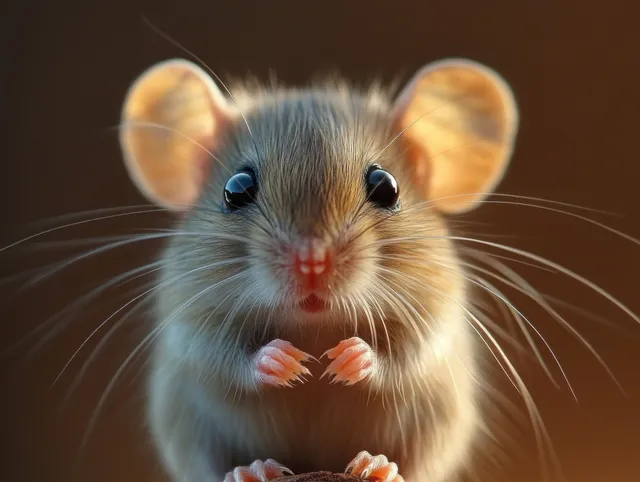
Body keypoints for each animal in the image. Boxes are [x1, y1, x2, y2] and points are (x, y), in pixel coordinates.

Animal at [118, 57, 518, 482]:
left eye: (386, 186)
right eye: (236, 189)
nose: (312, 264)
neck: (313, 324)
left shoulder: (435, 311)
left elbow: (406, 353)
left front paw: (349, 359)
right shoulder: (188, 320)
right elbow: (221, 356)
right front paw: (285, 362)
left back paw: (378, 465)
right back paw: (252, 469)